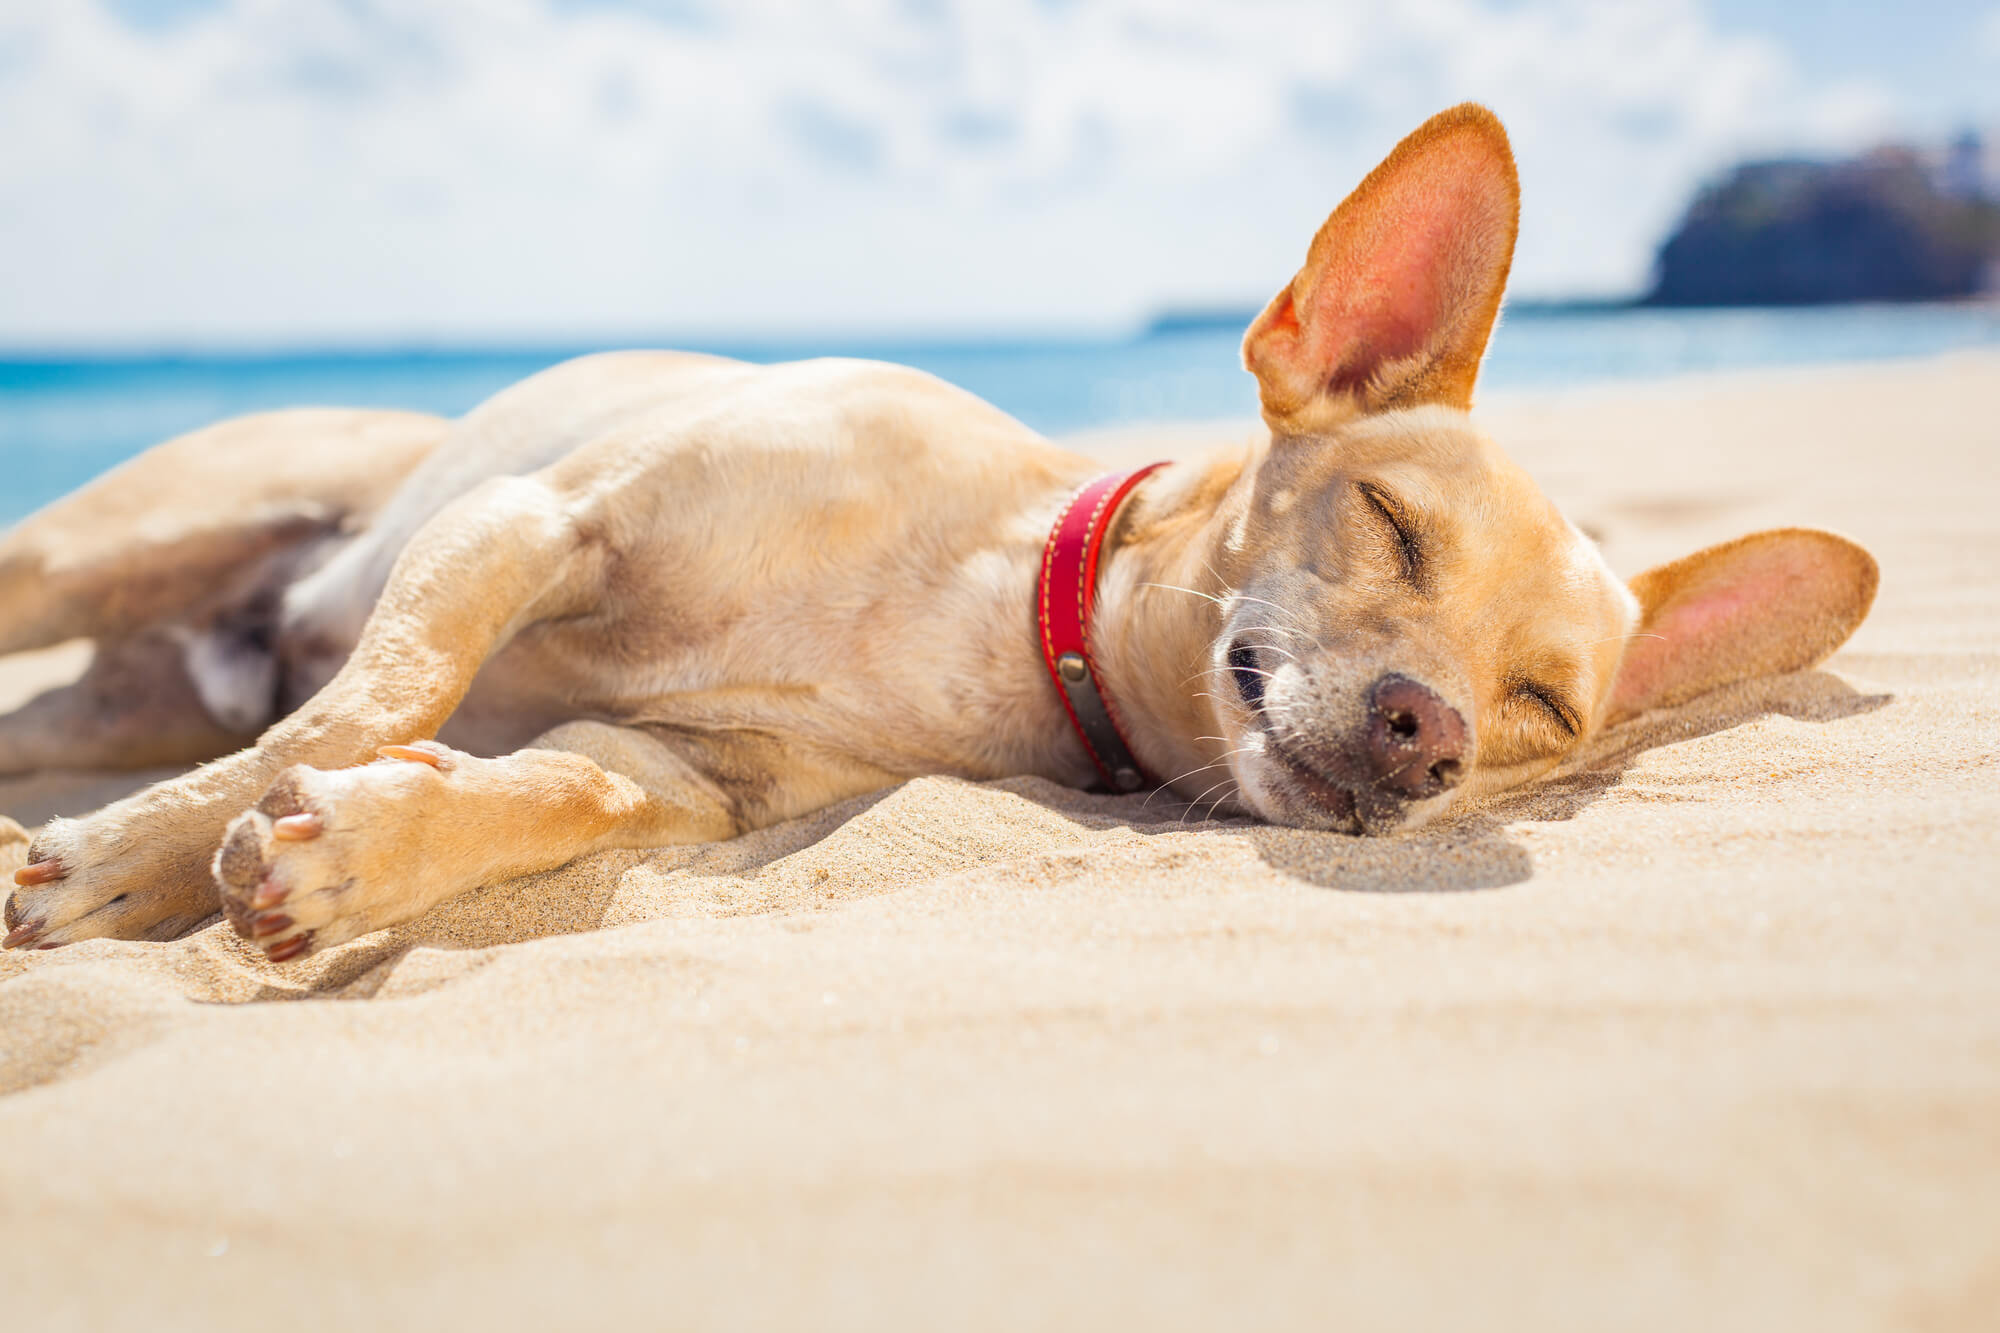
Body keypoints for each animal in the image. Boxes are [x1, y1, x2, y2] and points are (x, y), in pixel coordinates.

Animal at [0, 104, 1872, 956]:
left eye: (1544, 708)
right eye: (1395, 523)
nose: (1431, 733)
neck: (988, 599)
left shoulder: (686, 773)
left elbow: (549, 792)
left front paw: (356, 853)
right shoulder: (537, 520)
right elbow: (370, 703)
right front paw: (134, 855)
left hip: (114, 684)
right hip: (98, 557)